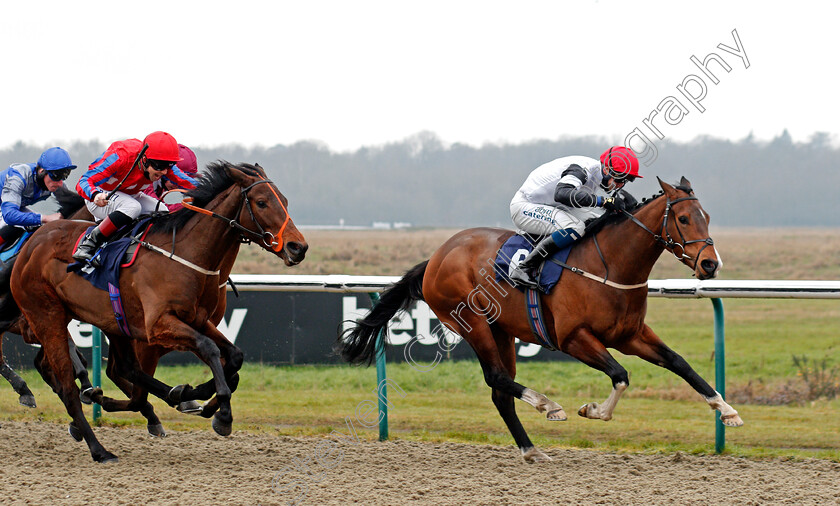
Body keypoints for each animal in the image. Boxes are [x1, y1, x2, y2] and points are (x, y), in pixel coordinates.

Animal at [338, 178, 740, 462]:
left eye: (706, 217)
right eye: (683, 218)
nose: (710, 264)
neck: (610, 265)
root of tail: (437, 257)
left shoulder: (631, 335)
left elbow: (680, 363)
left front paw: (727, 410)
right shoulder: (573, 338)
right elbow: (620, 375)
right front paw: (592, 410)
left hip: (501, 330)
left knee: (500, 392)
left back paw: (531, 449)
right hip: (471, 323)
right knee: (497, 378)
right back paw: (549, 406)